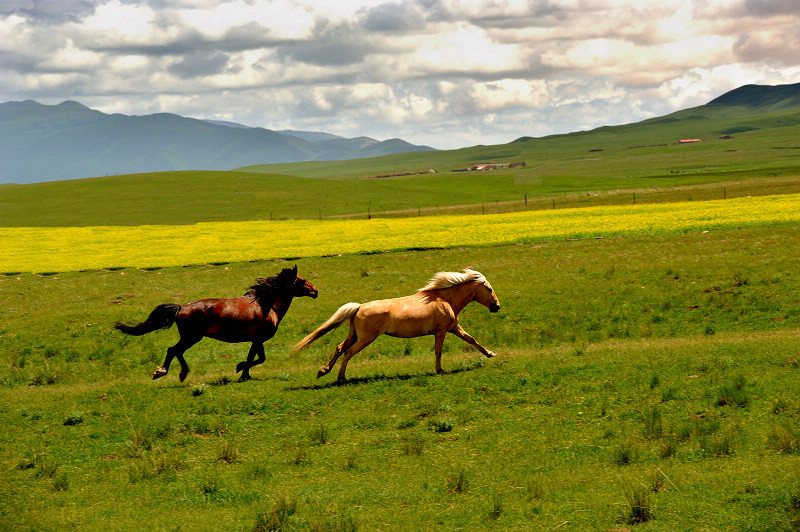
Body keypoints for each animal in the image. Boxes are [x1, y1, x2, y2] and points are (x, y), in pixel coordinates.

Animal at [115, 268, 318, 380]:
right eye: (301, 280)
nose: (315, 291)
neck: (267, 305)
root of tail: (181, 307)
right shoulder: (258, 339)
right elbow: (258, 358)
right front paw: (240, 369)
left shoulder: (255, 340)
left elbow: (254, 357)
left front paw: (244, 374)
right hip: (192, 337)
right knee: (174, 350)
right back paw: (168, 372)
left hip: (191, 337)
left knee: (175, 351)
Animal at [294, 270, 500, 382]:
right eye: (489, 289)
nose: (496, 306)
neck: (444, 299)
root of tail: (358, 307)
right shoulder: (442, 331)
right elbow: (438, 351)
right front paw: (440, 370)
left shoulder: (453, 327)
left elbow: (472, 340)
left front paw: (490, 353)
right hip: (366, 338)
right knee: (348, 353)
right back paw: (341, 378)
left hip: (354, 335)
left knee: (339, 349)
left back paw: (323, 371)